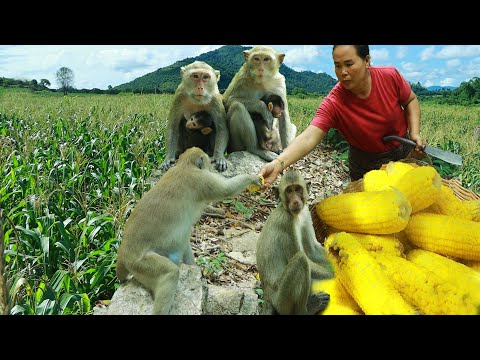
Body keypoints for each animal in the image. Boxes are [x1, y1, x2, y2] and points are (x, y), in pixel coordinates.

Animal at [117, 148, 264, 314]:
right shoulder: (202, 180)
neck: (185, 165)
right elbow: (227, 190)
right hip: (139, 263)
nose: (211, 168)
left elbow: (183, 240)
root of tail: (123, 253)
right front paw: (252, 178)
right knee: (170, 274)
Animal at [255, 170, 334, 314]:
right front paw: (337, 275)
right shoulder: (287, 223)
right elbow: (304, 257)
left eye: (297, 189)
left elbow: (312, 249)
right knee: (301, 260)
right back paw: (308, 309)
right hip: (281, 302)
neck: (292, 213)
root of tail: (267, 295)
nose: (296, 201)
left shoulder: (305, 213)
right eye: (289, 191)